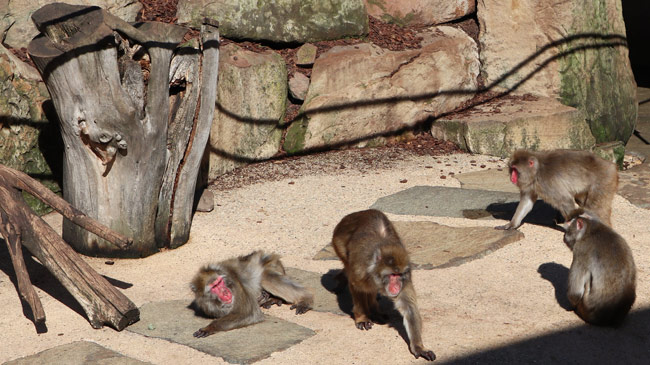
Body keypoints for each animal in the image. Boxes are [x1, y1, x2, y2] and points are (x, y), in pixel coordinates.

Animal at [332, 209, 432, 360]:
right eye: (392, 275)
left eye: (399, 275)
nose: (396, 286)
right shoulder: (360, 271)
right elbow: (356, 286)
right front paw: (362, 317)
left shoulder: (406, 278)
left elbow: (408, 307)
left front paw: (419, 347)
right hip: (339, 242)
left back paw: (375, 310)